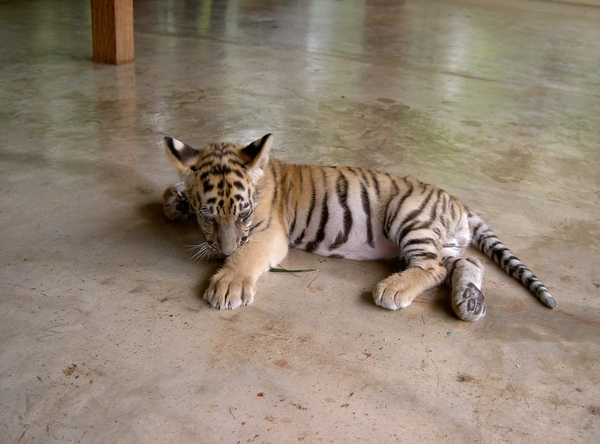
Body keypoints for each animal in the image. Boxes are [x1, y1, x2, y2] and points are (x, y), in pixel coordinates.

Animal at [162, 134, 556, 320]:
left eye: (243, 213)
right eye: (209, 214)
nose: (222, 253)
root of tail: (457, 202)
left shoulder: (269, 233)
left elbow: (248, 253)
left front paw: (228, 283)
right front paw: (174, 200)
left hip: (407, 216)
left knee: (433, 268)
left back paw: (394, 289)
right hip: (446, 242)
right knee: (467, 262)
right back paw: (469, 301)